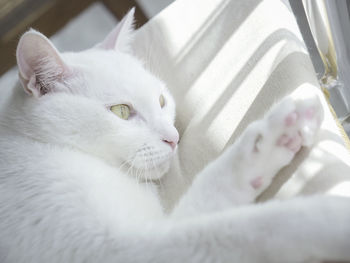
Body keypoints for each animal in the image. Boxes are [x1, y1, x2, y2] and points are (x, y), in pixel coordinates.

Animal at [0, 8, 350, 263]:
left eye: (161, 101)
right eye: (121, 111)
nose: (173, 138)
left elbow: (213, 190)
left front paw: (277, 136)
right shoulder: (117, 249)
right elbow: (240, 228)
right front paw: (329, 218)